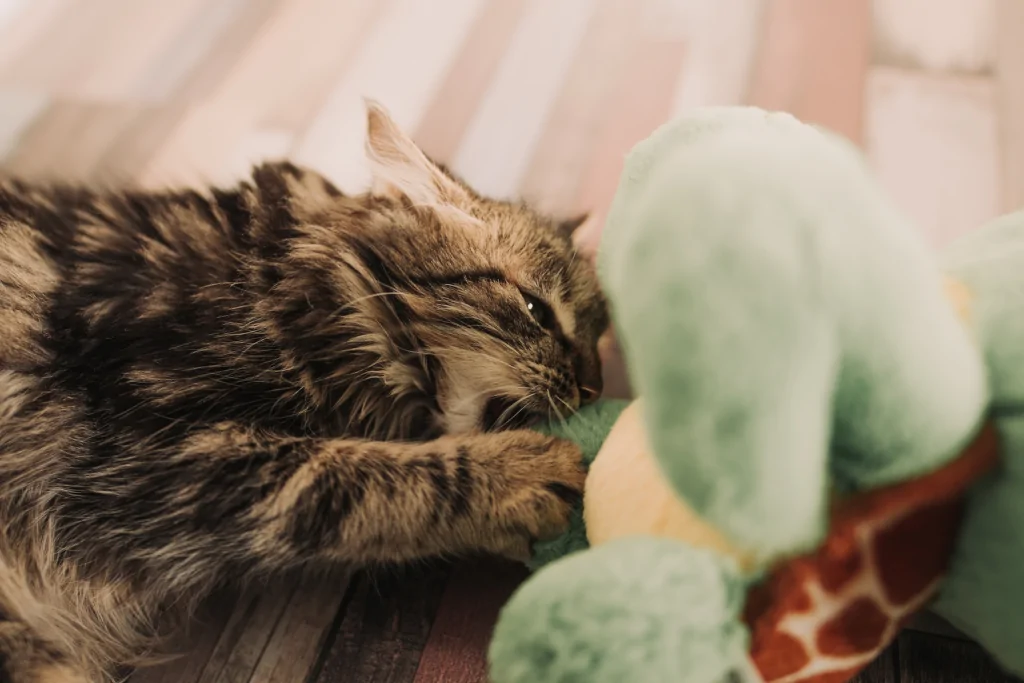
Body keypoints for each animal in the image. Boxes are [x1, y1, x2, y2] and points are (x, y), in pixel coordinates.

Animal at [0, 101, 606, 683]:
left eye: (599, 338)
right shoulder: (146, 452)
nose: (593, 387)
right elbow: (351, 474)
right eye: (536, 311)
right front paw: (522, 475)